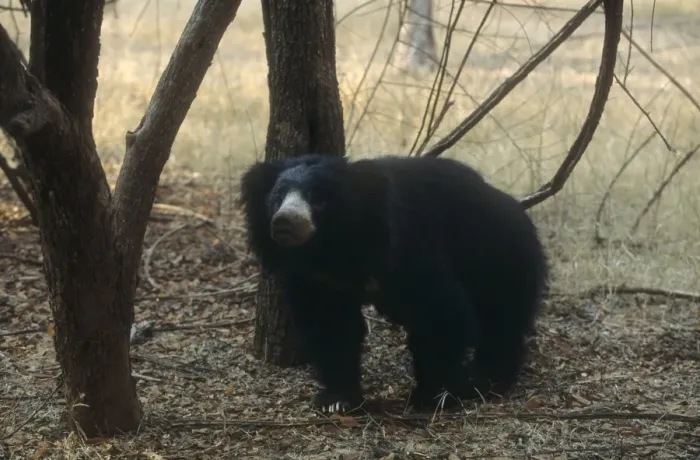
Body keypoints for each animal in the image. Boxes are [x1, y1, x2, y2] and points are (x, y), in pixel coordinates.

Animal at [238, 153, 549, 413]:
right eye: (277, 197)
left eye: (319, 200)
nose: (284, 222)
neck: (332, 250)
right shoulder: (319, 280)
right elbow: (330, 325)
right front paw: (337, 400)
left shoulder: (405, 251)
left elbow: (440, 309)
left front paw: (434, 395)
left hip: (497, 255)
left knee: (501, 315)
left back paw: (487, 378)